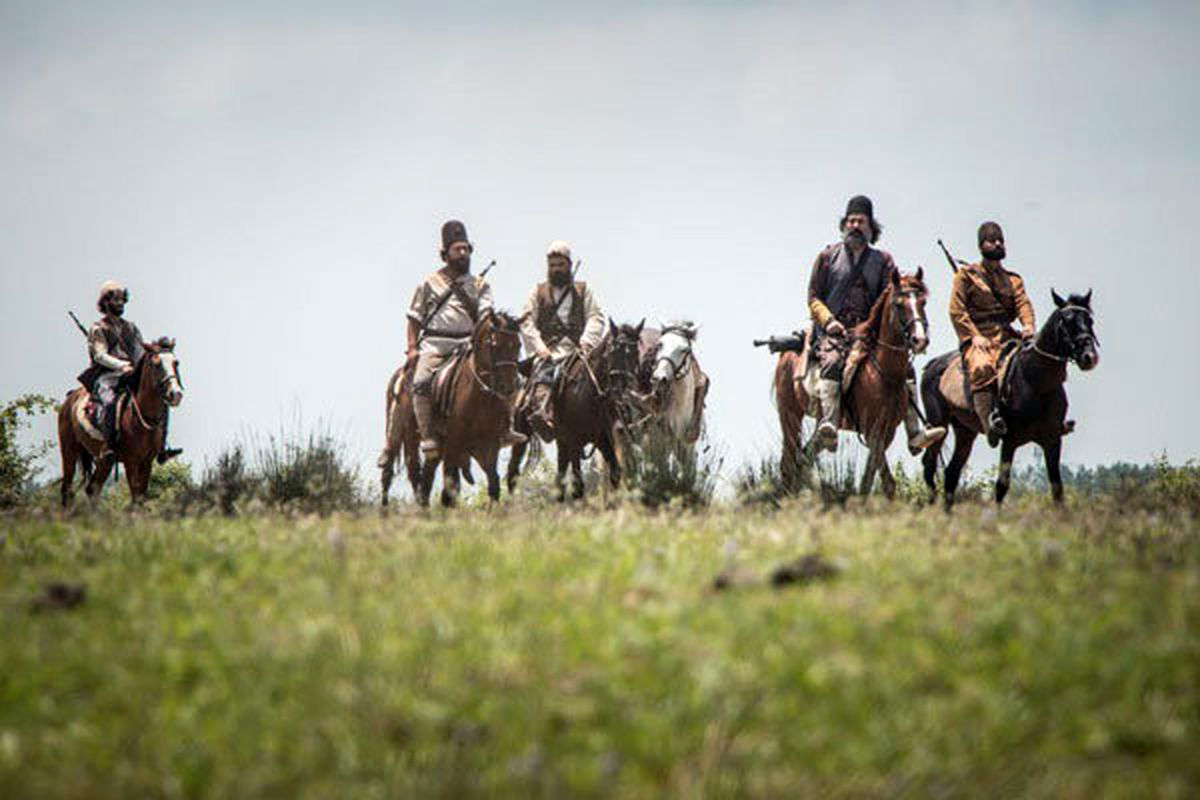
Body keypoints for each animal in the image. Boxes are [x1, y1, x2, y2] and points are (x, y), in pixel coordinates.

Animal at [58, 343, 183, 506]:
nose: (175, 394)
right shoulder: (131, 462)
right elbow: (135, 498)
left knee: (93, 489)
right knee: (67, 491)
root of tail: (69, 399)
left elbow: (140, 498)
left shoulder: (146, 463)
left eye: (176, 363)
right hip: (69, 452)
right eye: (156, 364)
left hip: (105, 461)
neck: (140, 416)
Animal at [379, 311, 520, 506]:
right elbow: (449, 490)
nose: (508, 387)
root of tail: (401, 372)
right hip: (404, 434)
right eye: (495, 344)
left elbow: (493, 484)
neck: (479, 395)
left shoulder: (490, 445)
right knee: (399, 471)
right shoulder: (454, 443)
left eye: (518, 345)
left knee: (425, 478)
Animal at [772, 268, 931, 501]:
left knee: (804, 457)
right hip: (790, 415)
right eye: (898, 303)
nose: (920, 340)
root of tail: (787, 354)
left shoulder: (886, 433)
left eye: (922, 302)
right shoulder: (872, 432)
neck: (884, 373)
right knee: (788, 462)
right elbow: (887, 481)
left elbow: (869, 480)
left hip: (819, 427)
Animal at [921, 291, 1099, 510]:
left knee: (951, 473)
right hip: (938, 424)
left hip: (965, 431)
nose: (1089, 357)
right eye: (1066, 321)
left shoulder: (1052, 439)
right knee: (929, 466)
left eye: (1090, 320)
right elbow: (1002, 485)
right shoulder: (1010, 440)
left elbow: (1057, 488)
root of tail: (932, 365)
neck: (1036, 381)